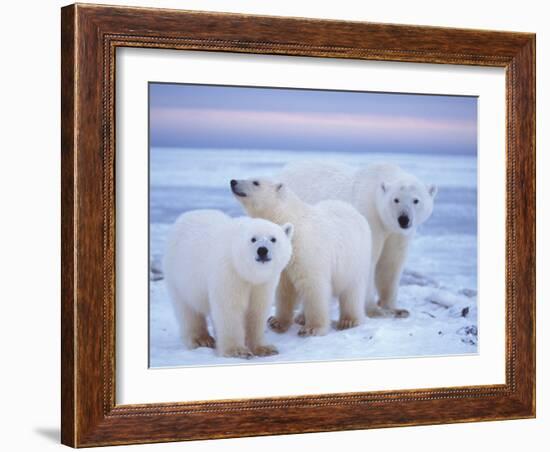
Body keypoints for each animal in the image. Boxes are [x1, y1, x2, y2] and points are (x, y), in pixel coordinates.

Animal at [163, 210, 296, 358]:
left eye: (273, 239)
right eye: (253, 239)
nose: (262, 250)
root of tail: (185, 215)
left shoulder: (263, 283)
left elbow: (257, 310)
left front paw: (265, 348)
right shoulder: (229, 273)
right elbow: (229, 309)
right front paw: (237, 351)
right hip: (179, 275)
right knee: (187, 309)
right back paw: (201, 339)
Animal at [231, 177, 374, 336]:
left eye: (256, 182)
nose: (233, 182)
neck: (291, 221)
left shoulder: (307, 249)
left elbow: (313, 285)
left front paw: (313, 328)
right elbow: (284, 289)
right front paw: (276, 322)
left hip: (355, 257)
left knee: (352, 289)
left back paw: (349, 321)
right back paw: (301, 317)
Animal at [282, 162, 438, 318]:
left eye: (416, 200)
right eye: (396, 199)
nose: (404, 219)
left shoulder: (397, 234)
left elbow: (391, 263)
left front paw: (396, 309)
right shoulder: (370, 217)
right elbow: (368, 260)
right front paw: (373, 310)